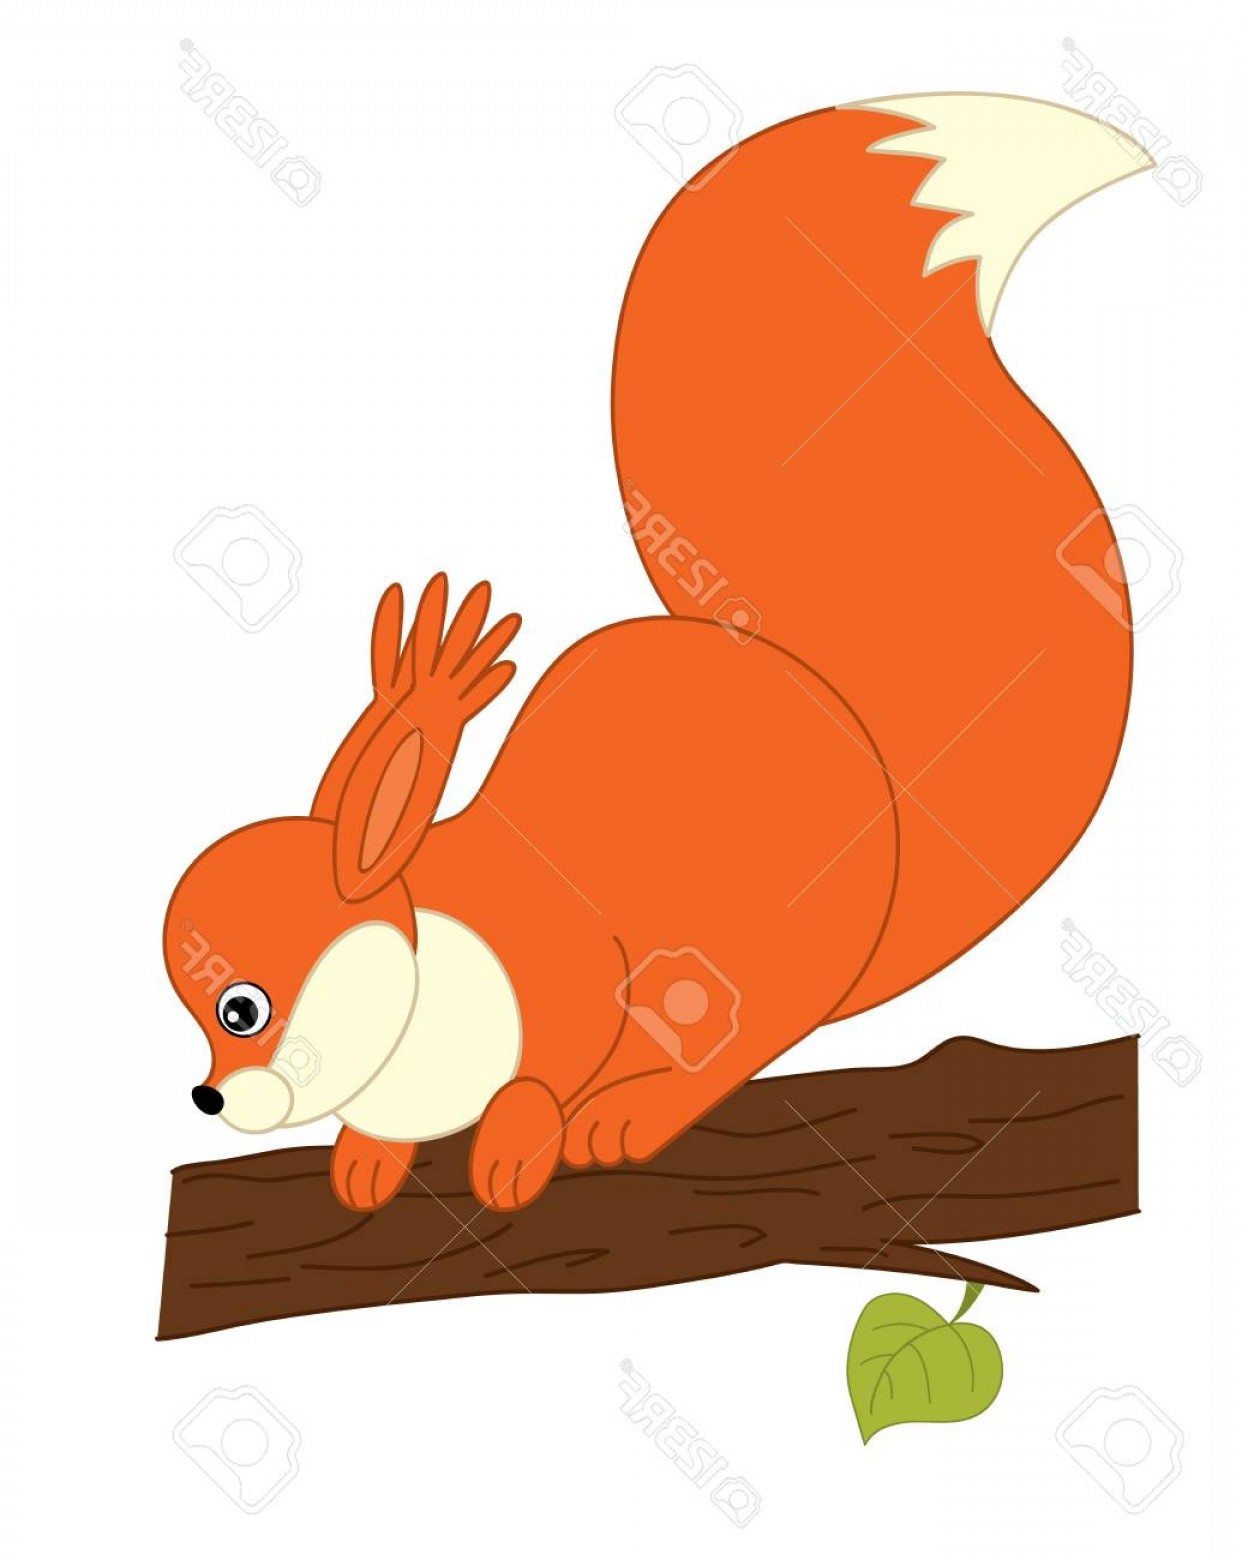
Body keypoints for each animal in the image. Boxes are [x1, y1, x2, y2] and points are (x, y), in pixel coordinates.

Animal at [164, 93, 1150, 1213]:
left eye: (244, 1007)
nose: (207, 1099)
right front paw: (365, 1158)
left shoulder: (562, 970)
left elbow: (552, 1062)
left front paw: (517, 1141)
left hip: (749, 955)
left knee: (738, 1039)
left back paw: (629, 1112)